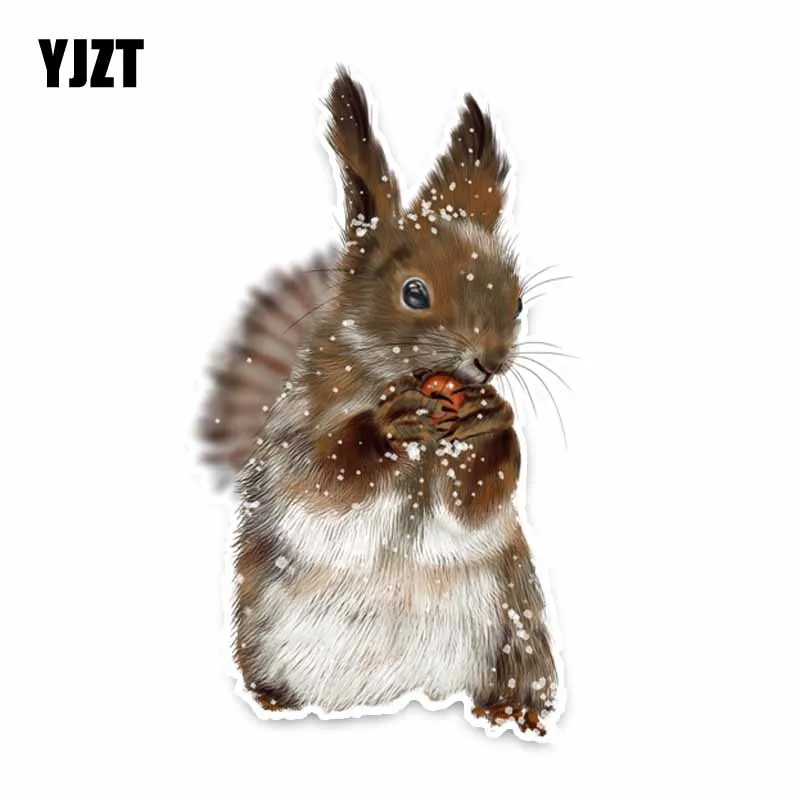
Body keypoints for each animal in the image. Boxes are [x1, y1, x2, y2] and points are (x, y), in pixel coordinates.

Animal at [200, 67, 561, 739]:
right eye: (413, 293)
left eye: (519, 299)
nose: (491, 362)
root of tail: (394, 696)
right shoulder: (297, 425)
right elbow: (324, 474)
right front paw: (386, 425)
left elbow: (479, 503)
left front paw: (491, 420)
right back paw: (276, 702)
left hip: (514, 632)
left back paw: (509, 711)